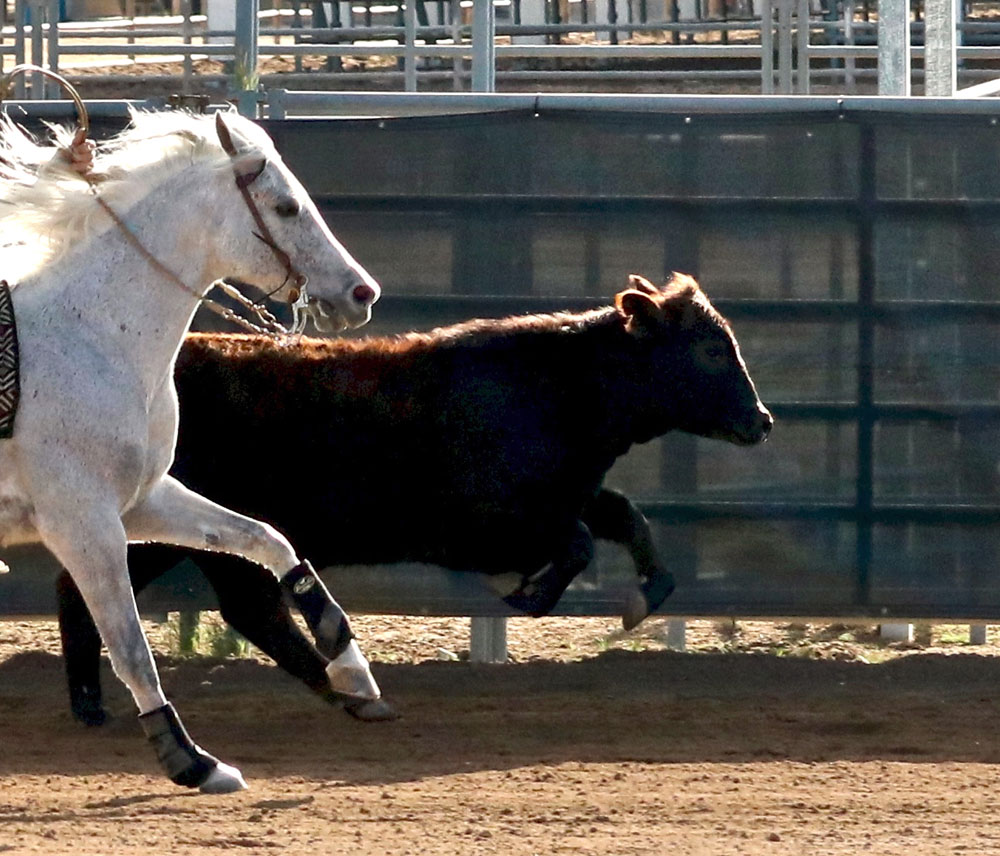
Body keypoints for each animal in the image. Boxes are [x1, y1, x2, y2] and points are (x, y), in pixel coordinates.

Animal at [0, 110, 382, 792]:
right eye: (286, 207)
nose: (362, 293)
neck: (91, 335)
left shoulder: (144, 501)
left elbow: (268, 540)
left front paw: (352, 668)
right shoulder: (84, 525)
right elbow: (131, 649)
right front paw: (193, 761)